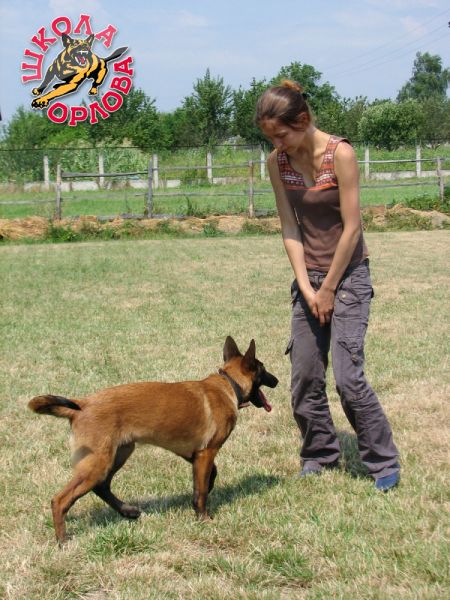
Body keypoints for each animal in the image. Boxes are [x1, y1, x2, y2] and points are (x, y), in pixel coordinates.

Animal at [28, 336, 278, 544]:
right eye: (264, 370)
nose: (276, 380)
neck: (228, 385)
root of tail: (82, 404)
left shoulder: (194, 454)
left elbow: (207, 479)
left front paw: (203, 496)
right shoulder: (207, 452)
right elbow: (202, 491)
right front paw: (204, 517)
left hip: (118, 454)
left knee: (102, 486)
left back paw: (128, 511)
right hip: (97, 463)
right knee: (61, 500)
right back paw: (63, 541)